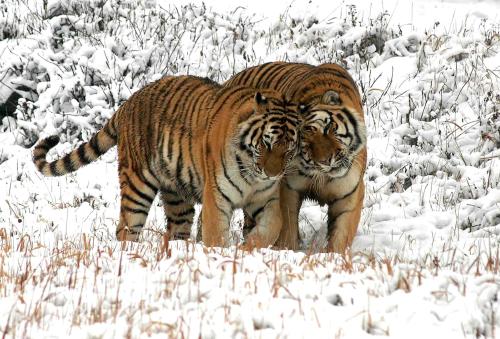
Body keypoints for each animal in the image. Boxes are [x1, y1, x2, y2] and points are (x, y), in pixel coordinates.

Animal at [34, 75, 300, 248]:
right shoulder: (217, 197)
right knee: (125, 229)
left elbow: (274, 225)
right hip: (137, 186)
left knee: (175, 228)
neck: (252, 174)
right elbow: (216, 236)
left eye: (288, 149)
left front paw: (249, 247)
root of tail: (128, 102)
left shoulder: (266, 198)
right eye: (266, 142)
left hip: (176, 195)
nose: (273, 174)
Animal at [224, 61, 368, 254]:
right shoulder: (288, 188)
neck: (321, 174)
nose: (327, 161)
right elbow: (288, 227)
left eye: (328, 128)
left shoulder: (349, 194)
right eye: (303, 141)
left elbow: (341, 233)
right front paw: (287, 250)